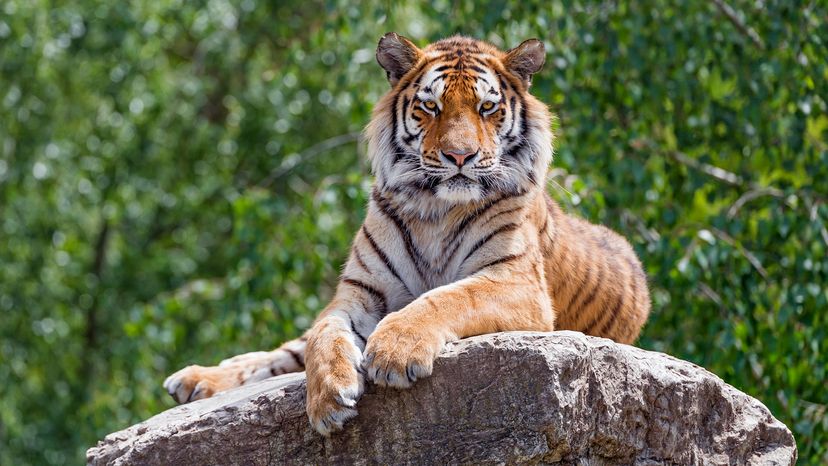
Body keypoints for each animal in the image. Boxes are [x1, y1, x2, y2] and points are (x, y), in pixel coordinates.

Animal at [163, 33, 652, 436]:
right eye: (431, 106)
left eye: (487, 108)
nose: (460, 156)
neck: (436, 209)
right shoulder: (359, 291)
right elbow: (324, 333)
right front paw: (328, 398)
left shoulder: (517, 283)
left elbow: (447, 297)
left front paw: (393, 352)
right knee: (284, 352)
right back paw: (194, 379)